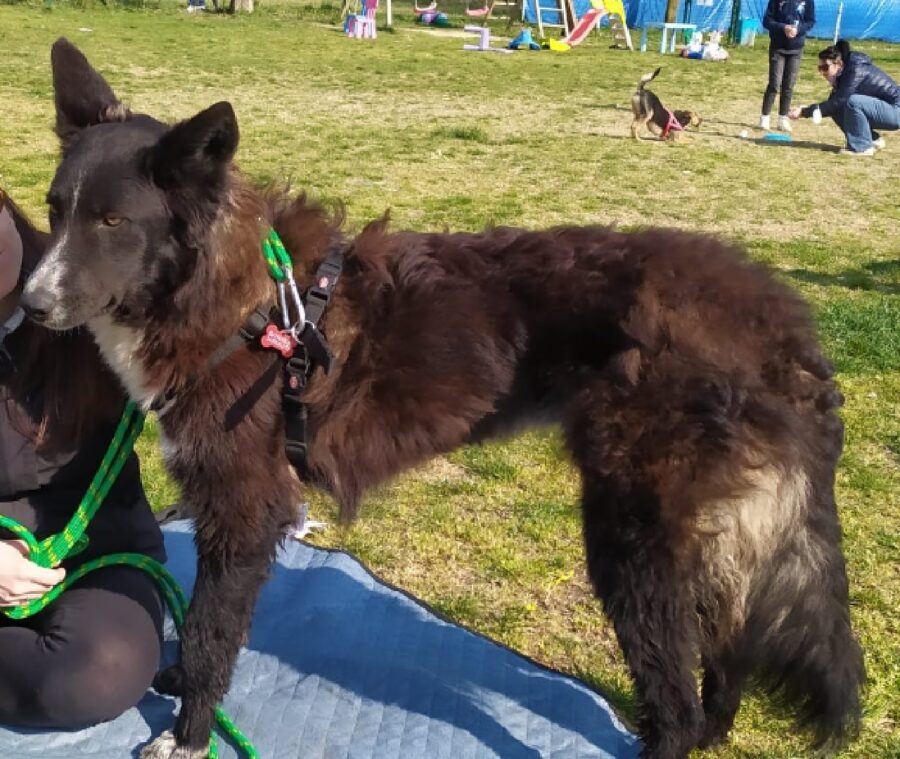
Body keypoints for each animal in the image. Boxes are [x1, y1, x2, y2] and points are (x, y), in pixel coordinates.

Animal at [22, 40, 864, 759]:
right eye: (56, 208)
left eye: (113, 221)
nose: (28, 305)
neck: (239, 302)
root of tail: (775, 313)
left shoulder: (245, 511)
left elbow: (207, 631)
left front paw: (189, 730)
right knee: (729, 646)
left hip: (631, 537)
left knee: (680, 697)